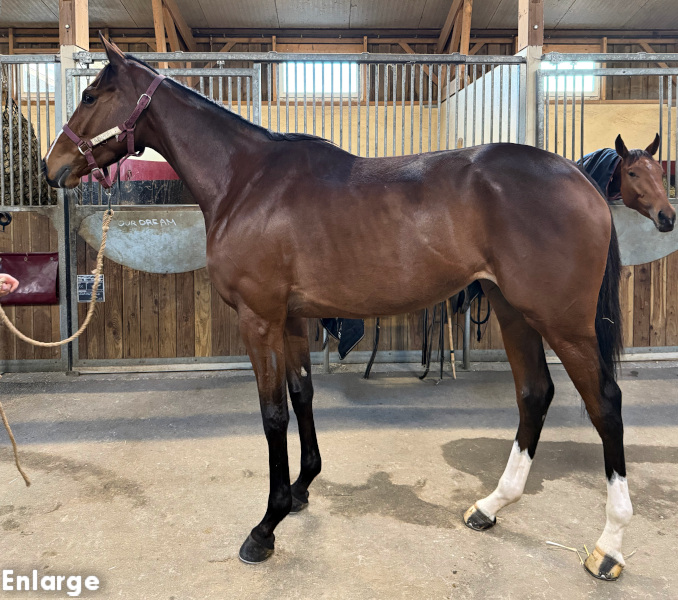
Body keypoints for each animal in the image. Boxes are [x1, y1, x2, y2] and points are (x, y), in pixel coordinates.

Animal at [43, 35, 674, 580]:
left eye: (91, 95)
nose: (52, 168)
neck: (246, 182)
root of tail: (579, 181)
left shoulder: (259, 319)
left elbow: (273, 414)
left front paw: (265, 527)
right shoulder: (293, 318)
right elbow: (302, 395)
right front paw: (301, 490)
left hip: (563, 322)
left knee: (604, 404)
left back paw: (609, 546)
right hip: (513, 310)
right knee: (534, 393)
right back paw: (491, 505)